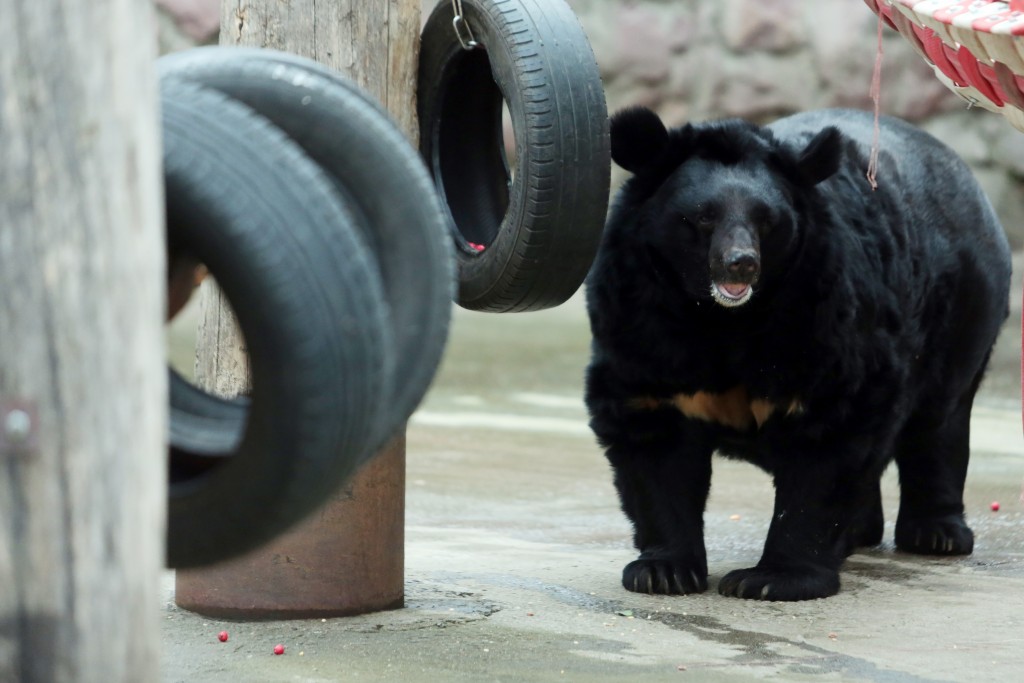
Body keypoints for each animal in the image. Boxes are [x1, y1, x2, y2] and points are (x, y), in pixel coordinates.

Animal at [589, 104, 1011, 602]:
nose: (741, 264)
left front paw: (771, 579)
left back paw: (937, 534)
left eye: (766, 220)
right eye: (702, 217)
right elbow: (654, 438)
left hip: (963, 311)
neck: (719, 318)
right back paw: (862, 531)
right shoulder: (639, 320)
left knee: (938, 422)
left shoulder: (821, 315)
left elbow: (830, 433)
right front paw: (662, 572)